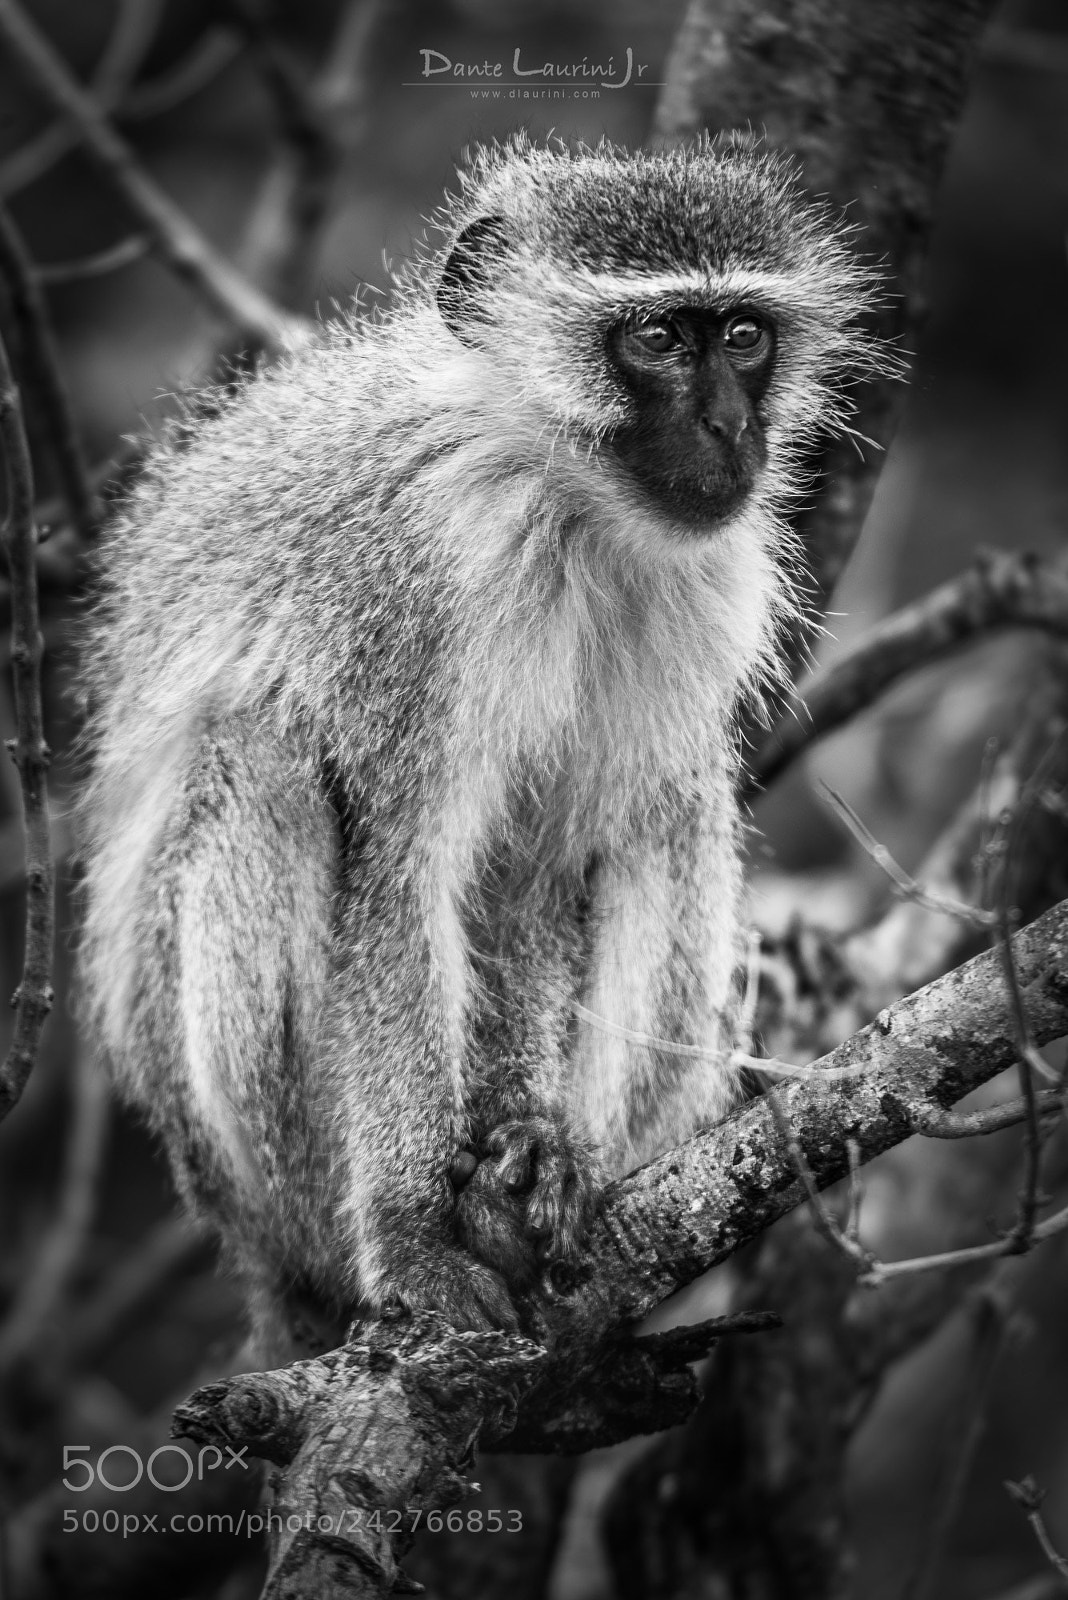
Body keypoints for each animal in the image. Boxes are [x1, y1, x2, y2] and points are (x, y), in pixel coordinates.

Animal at [76, 135, 883, 1358]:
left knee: (672, 805)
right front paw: (415, 1238)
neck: (558, 492)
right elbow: (400, 875)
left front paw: (536, 1143)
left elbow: (530, 872)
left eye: (745, 335)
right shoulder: (407, 589)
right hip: (258, 1160)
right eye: (657, 338)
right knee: (264, 761)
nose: (730, 431)